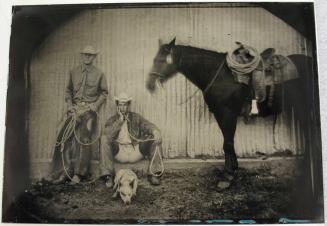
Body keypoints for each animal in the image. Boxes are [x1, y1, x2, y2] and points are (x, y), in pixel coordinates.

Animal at [147, 37, 320, 176]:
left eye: (160, 60)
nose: (149, 84)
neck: (220, 76)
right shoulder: (220, 113)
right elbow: (227, 141)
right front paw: (231, 167)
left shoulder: (228, 113)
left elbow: (228, 143)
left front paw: (229, 173)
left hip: (302, 108)